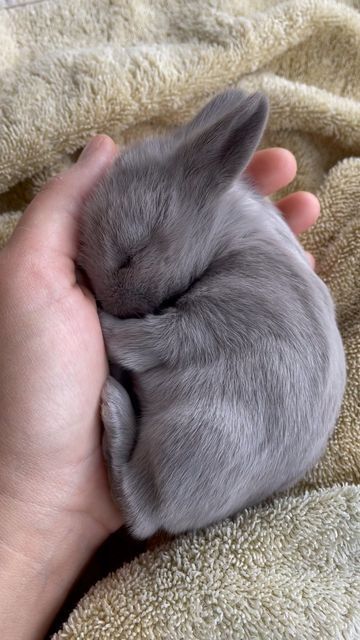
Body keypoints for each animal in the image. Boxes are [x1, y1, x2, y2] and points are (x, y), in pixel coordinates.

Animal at [79, 90, 346, 540]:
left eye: (130, 256)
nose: (106, 301)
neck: (222, 238)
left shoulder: (212, 317)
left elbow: (146, 341)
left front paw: (103, 324)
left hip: (198, 430)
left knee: (138, 506)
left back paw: (115, 407)